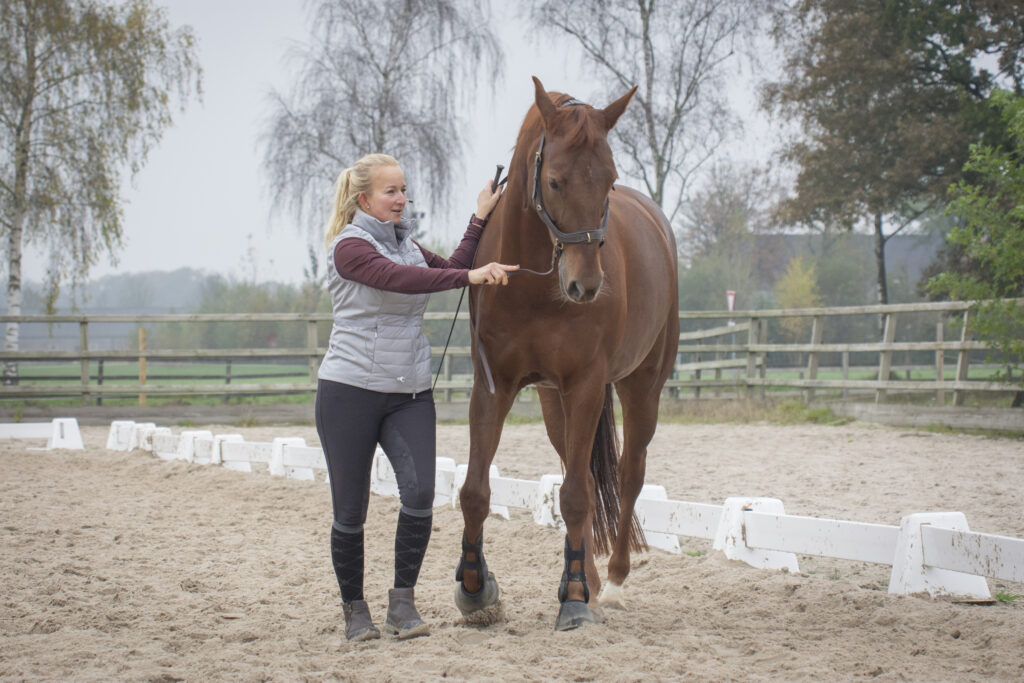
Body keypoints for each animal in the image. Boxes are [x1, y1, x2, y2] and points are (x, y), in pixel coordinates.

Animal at [456, 78, 679, 630]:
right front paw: (475, 589)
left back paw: (611, 581)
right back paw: (593, 582)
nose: (586, 286)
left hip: (641, 387)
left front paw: (575, 597)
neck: (534, 285)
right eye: (554, 181)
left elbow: (579, 495)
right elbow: (475, 491)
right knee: (578, 472)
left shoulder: (586, 386)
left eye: (610, 179)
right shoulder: (493, 387)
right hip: (553, 399)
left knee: (627, 473)